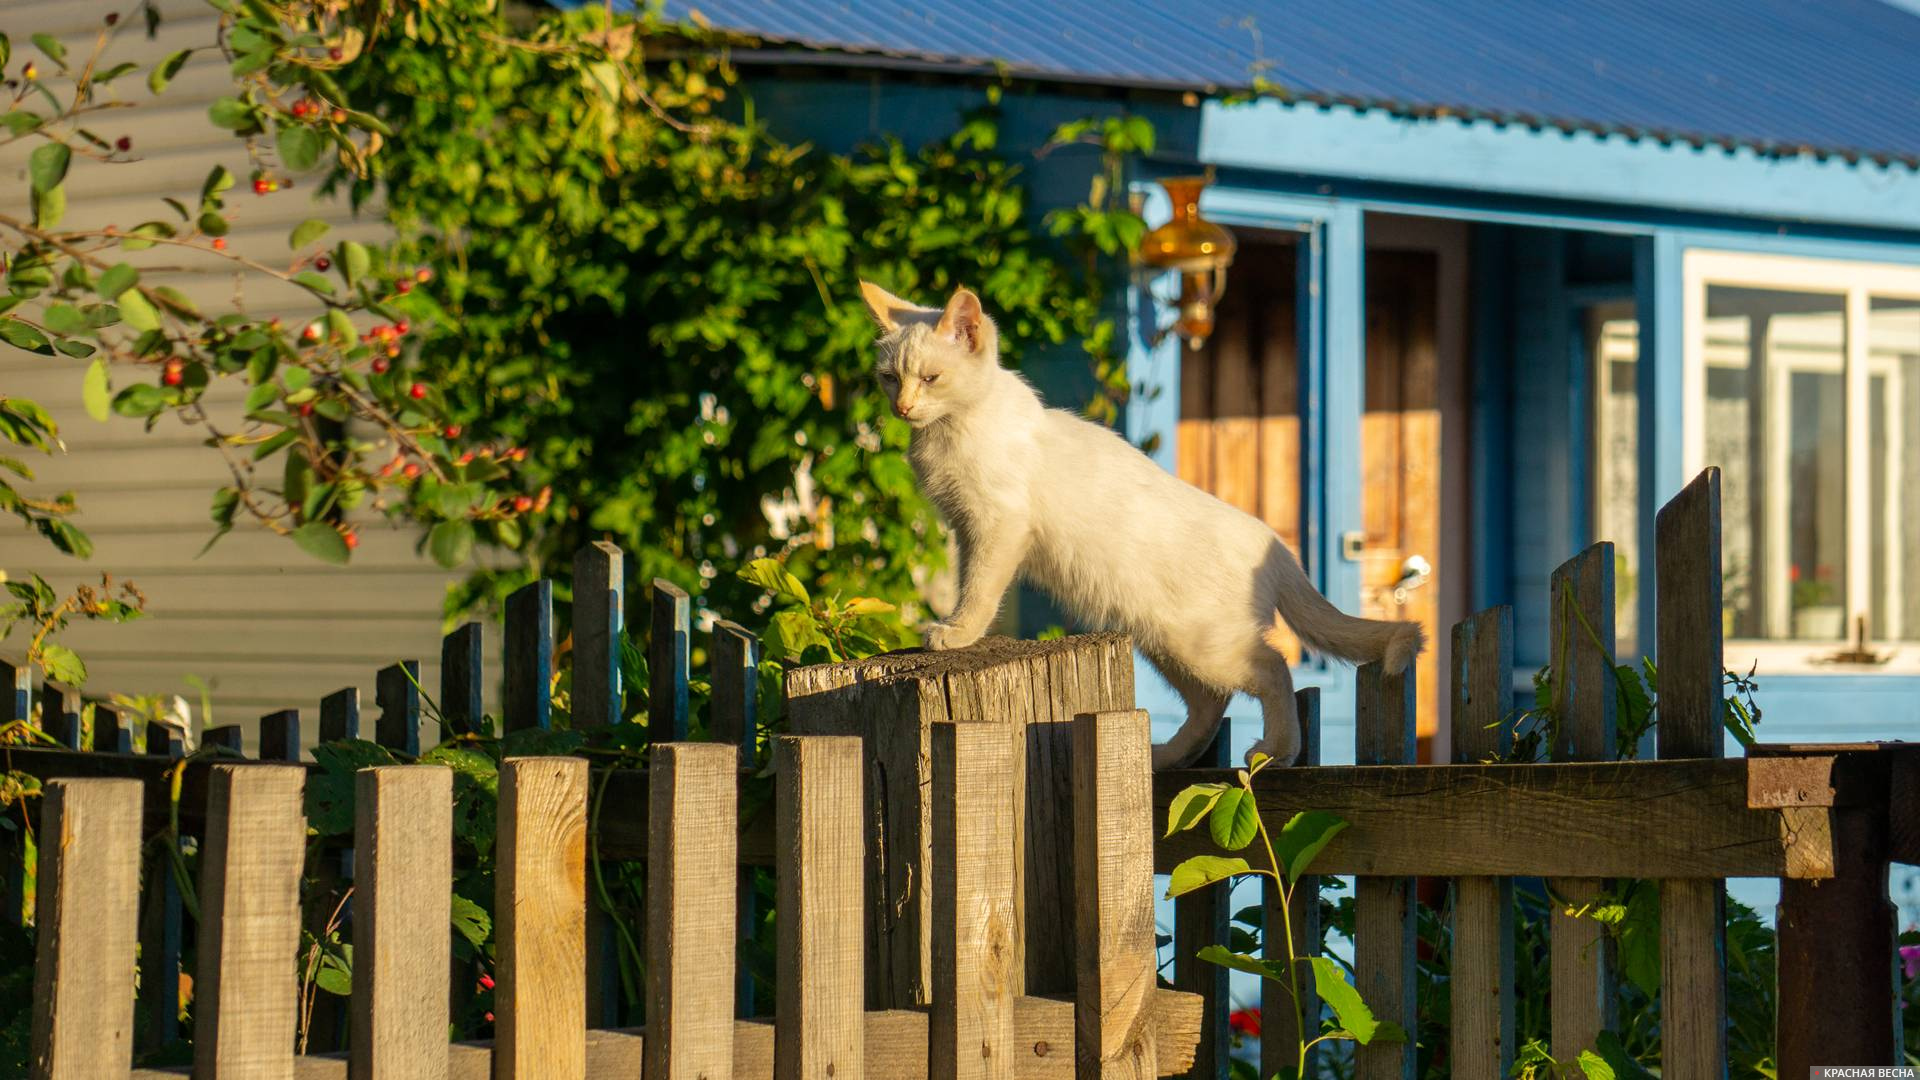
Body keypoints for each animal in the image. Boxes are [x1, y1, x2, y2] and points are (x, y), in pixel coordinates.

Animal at [864, 276, 1420, 764]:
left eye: (930, 378)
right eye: (889, 378)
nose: (903, 407)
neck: (951, 430)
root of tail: (1272, 543)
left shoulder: (998, 525)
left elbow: (980, 589)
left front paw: (957, 632)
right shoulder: (966, 528)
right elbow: (969, 581)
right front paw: (957, 627)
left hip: (1203, 643)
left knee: (1272, 667)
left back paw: (1276, 751)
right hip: (1165, 641)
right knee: (1211, 702)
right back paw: (1167, 756)